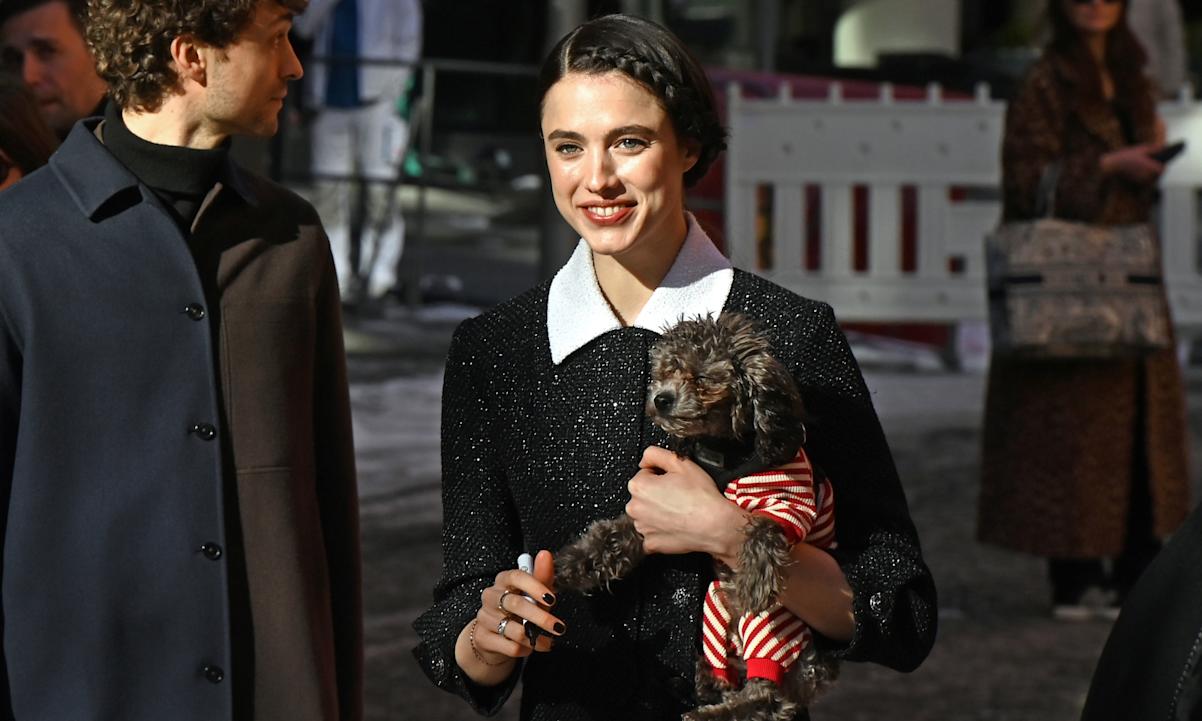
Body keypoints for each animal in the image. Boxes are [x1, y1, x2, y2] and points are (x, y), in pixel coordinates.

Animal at [552, 312, 836, 721]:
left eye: (702, 378)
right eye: (664, 372)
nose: (661, 398)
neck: (723, 452)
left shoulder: (787, 500)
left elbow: (764, 529)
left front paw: (755, 579)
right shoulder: (647, 516)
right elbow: (613, 534)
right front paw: (574, 565)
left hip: (773, 626)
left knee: (766, 697)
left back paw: (710, 713)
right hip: (714, 612)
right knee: (727, 676)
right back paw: (699, 683)